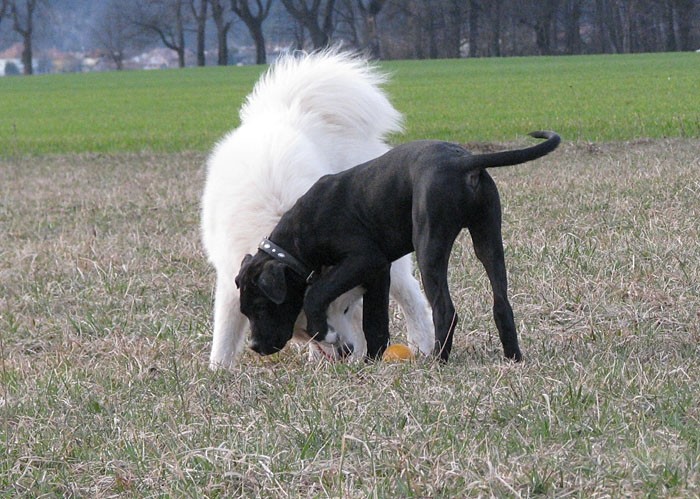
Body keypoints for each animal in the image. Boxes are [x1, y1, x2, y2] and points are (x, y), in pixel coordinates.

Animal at [200, 50, 434, 370]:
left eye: (344, 309)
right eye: (312, 324)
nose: (346, 350)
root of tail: (297, 106)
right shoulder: (229, 276)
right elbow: (225, 332)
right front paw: (218, 370)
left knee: (413, 299)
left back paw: (421, 346)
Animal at [238, 131, 560, 362]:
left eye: (261, 306)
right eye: (245, 311)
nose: (255, 346)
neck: (298, 235)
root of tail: (461, 161)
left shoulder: (363, 258)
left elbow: (316, 292)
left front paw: (323, 331)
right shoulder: (378, 272)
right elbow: (375, 321)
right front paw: (373, 360)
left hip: (430, 246)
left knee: (445, 309)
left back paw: (437, 361)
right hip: (488, 238)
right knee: (501, 302)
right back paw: (513, 356)